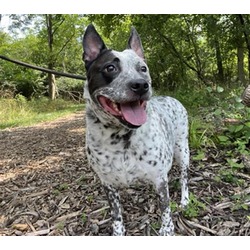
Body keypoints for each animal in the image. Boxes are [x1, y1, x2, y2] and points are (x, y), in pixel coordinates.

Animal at [82, 23, 189, 236]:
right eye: (110, 67)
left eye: (143, 68)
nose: (141, 85)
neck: (120, 137)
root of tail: (172, 98)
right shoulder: (108, 184)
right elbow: (116, 215)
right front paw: (118, 233)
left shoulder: (160, 179)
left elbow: (165, 208)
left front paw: (167, 230)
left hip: (183, 151)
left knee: (184, 178)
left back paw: (185, 199)